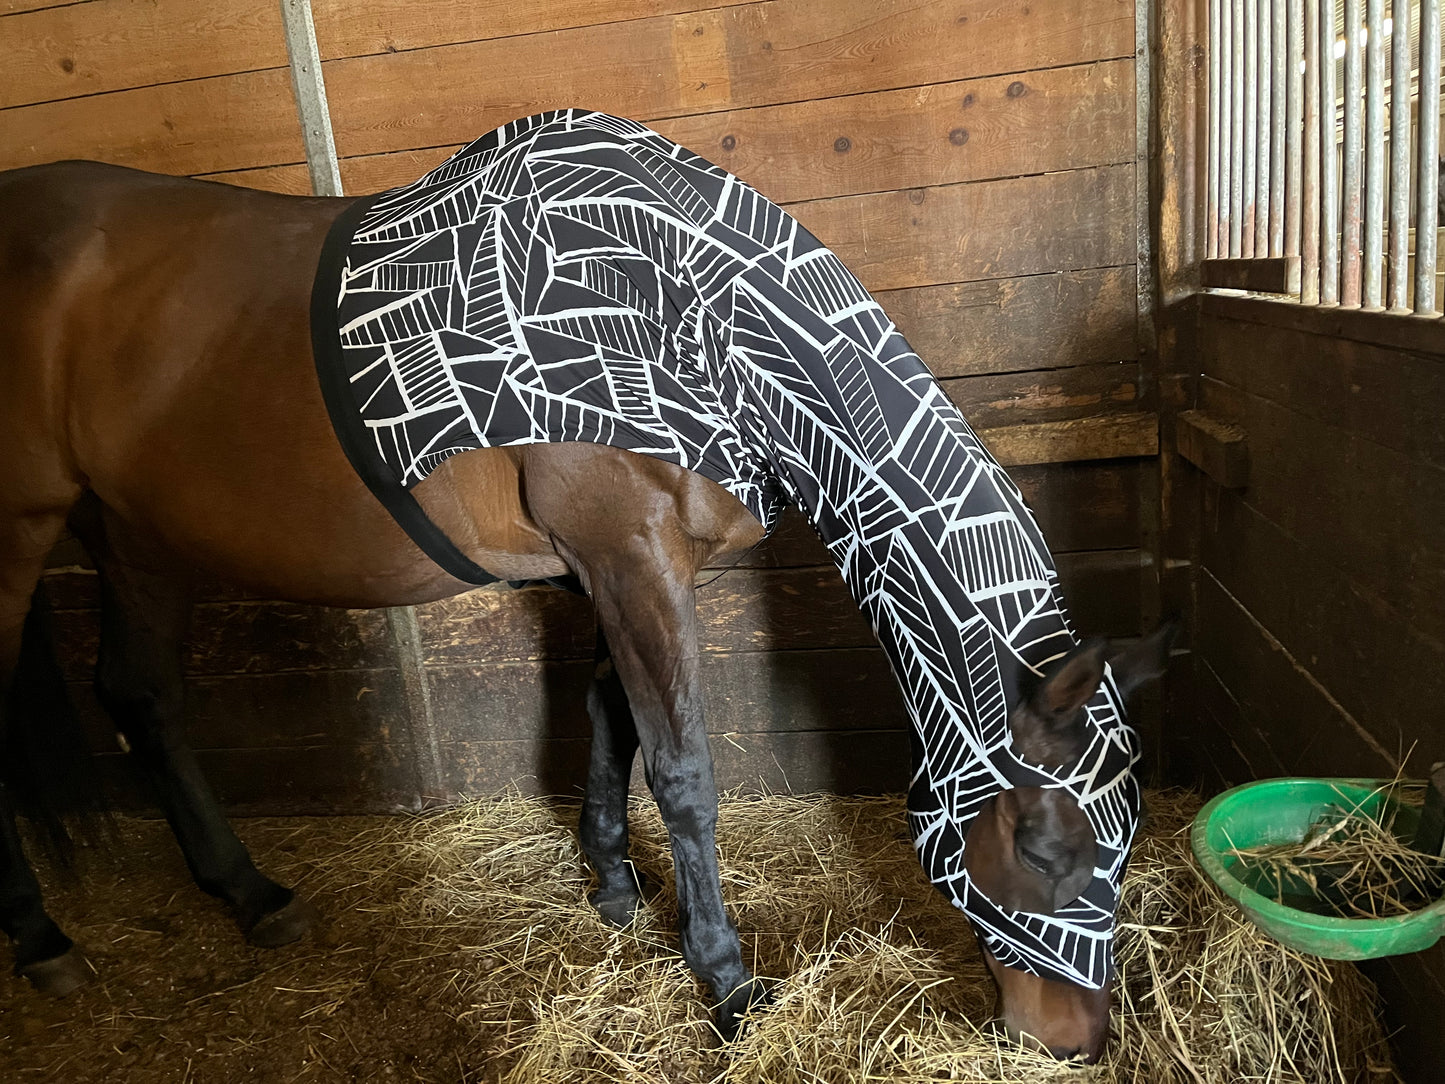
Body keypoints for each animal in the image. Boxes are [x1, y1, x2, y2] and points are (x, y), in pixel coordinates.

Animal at [0, 112, 1172, 1062]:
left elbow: (610, 725)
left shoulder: (622, 569)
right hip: (24, 537)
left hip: (135, 534)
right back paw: (43, 938)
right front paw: (726, 984)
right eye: (1046, 845)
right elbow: (682, 773)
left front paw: (611, 885)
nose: (1076, 1043)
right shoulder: (628, 558)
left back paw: (249, 894)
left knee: (144, 697)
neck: (688, 300)